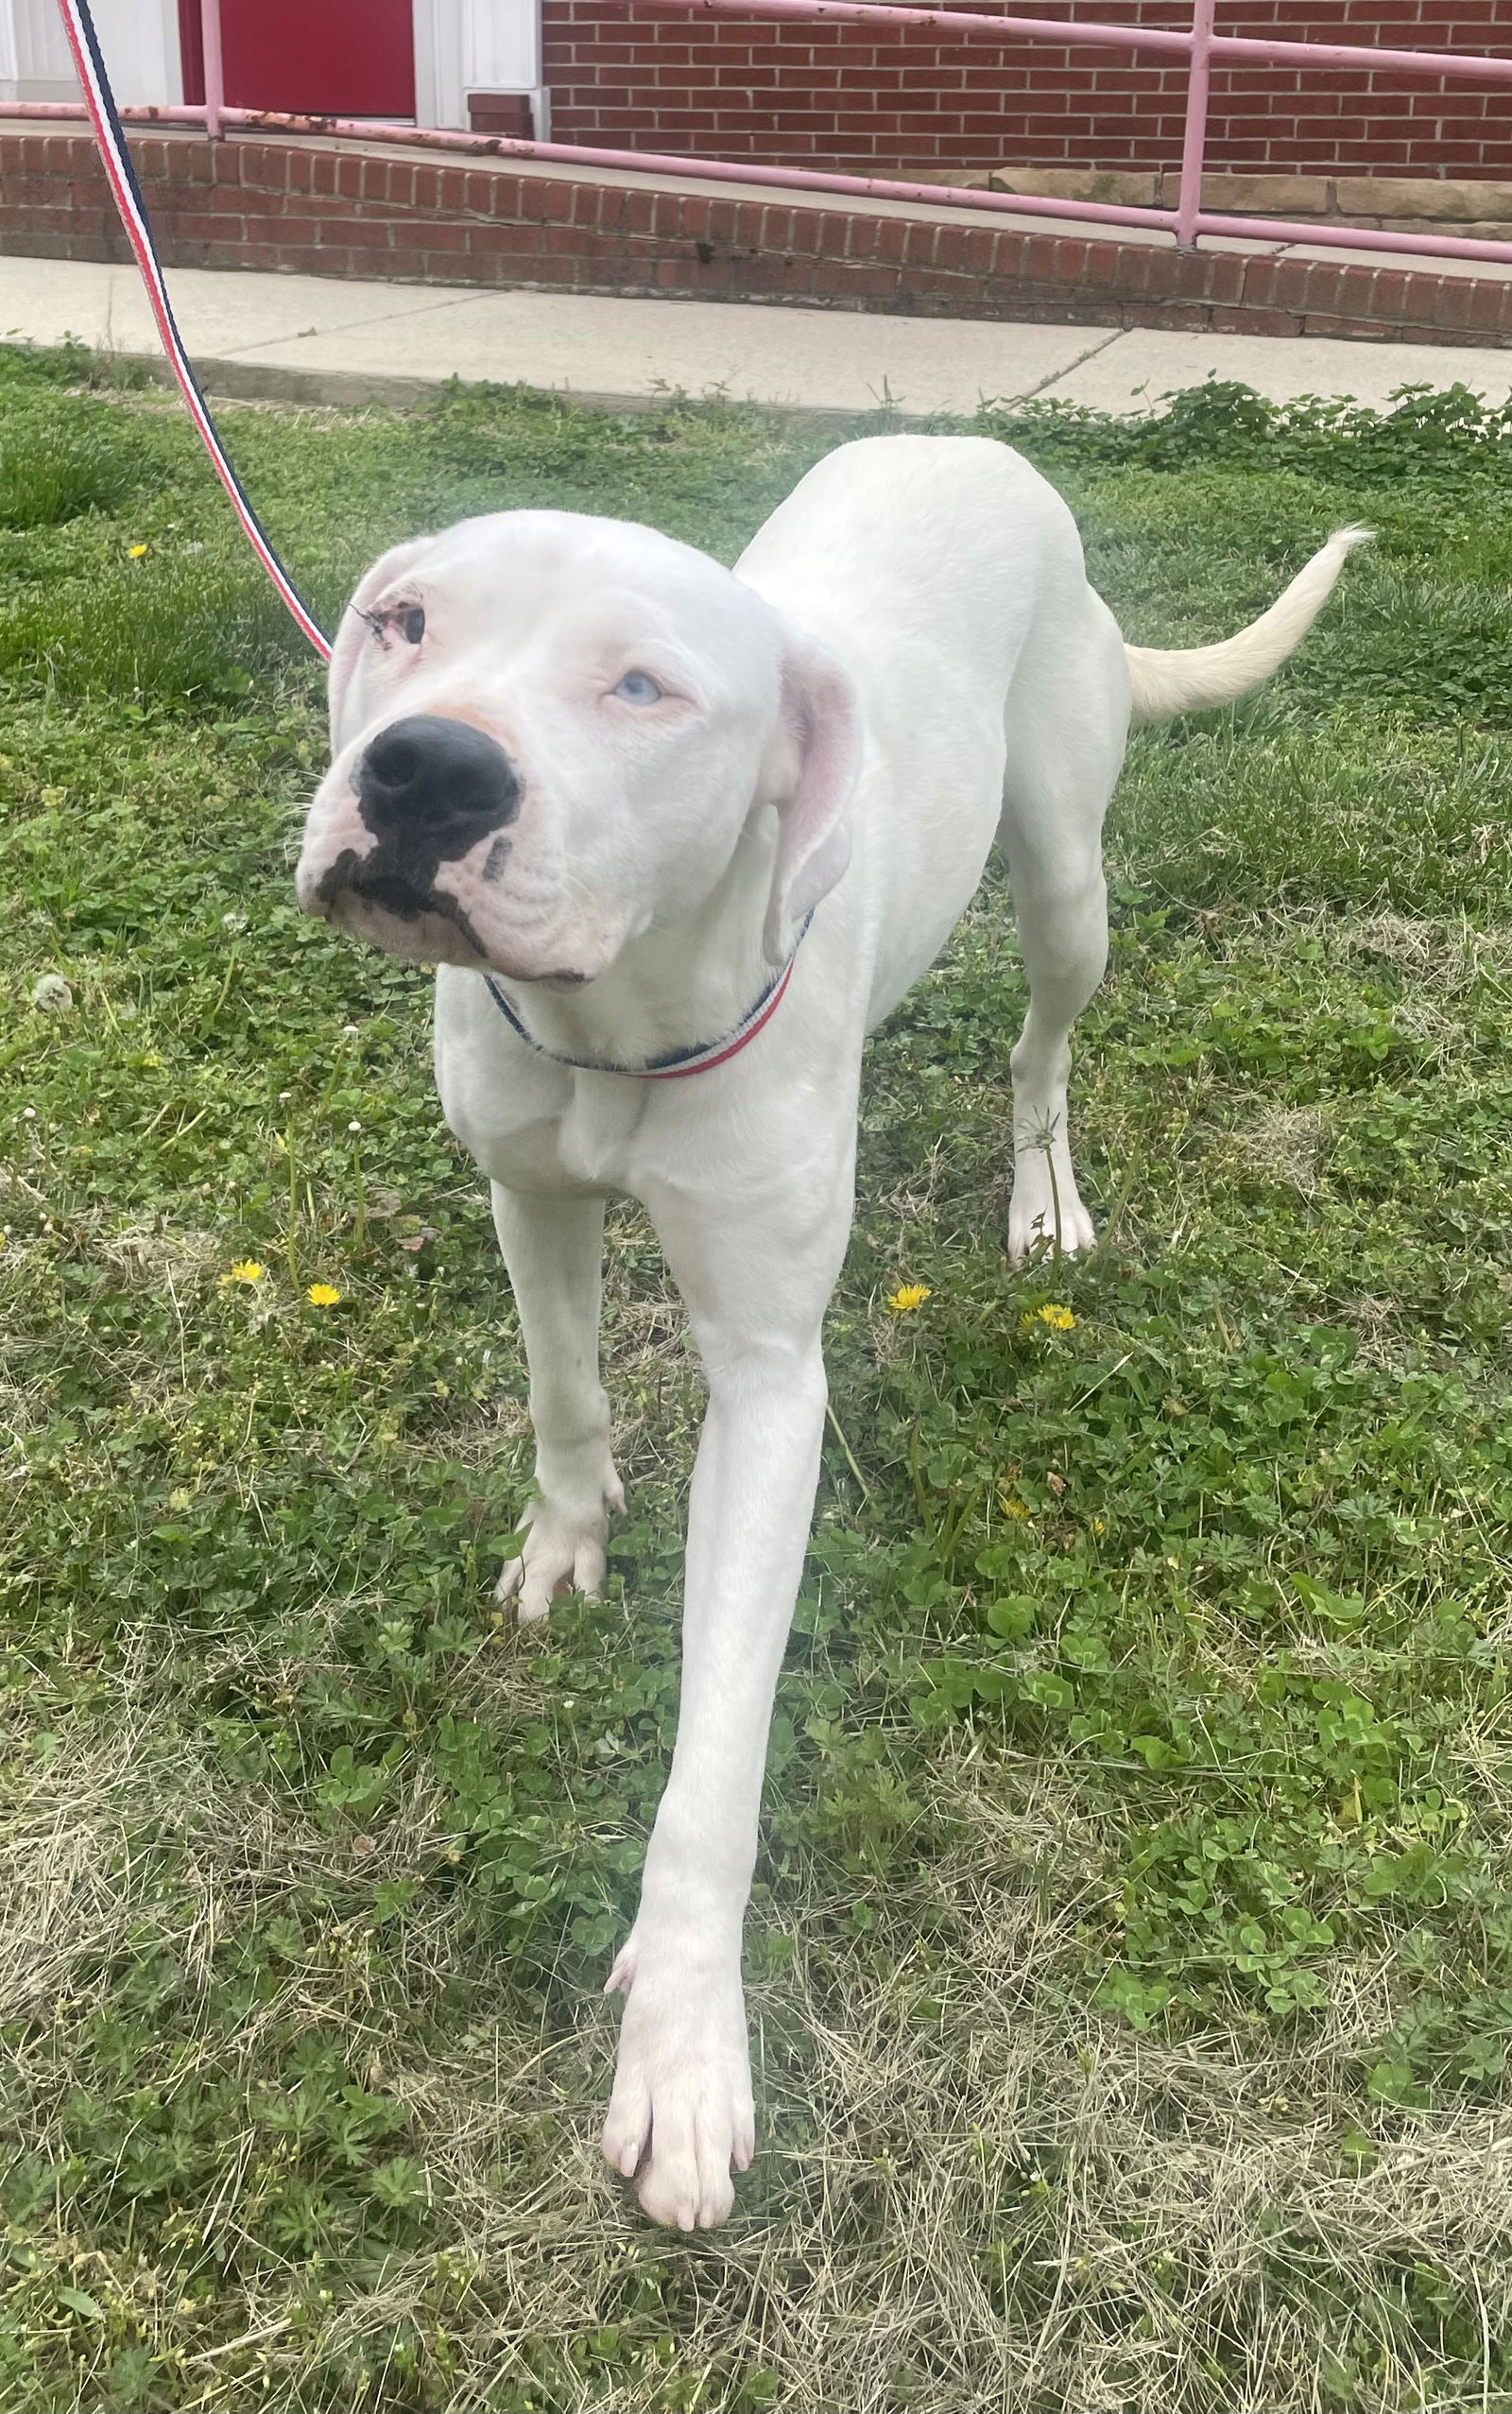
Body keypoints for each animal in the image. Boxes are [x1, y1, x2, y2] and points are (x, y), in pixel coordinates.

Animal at [294, 434, 1352, 2220]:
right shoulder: (528, 1189)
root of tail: (975, 445)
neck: (620, 1012)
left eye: (643, 686)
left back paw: (1043, 1197)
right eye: (404, 621)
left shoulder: (772, 1386)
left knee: (1040, 1050)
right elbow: (565, 1391)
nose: (426, 766)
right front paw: (567, 1541)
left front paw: (683, 2041)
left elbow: (715, 1759)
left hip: (1067, 878)